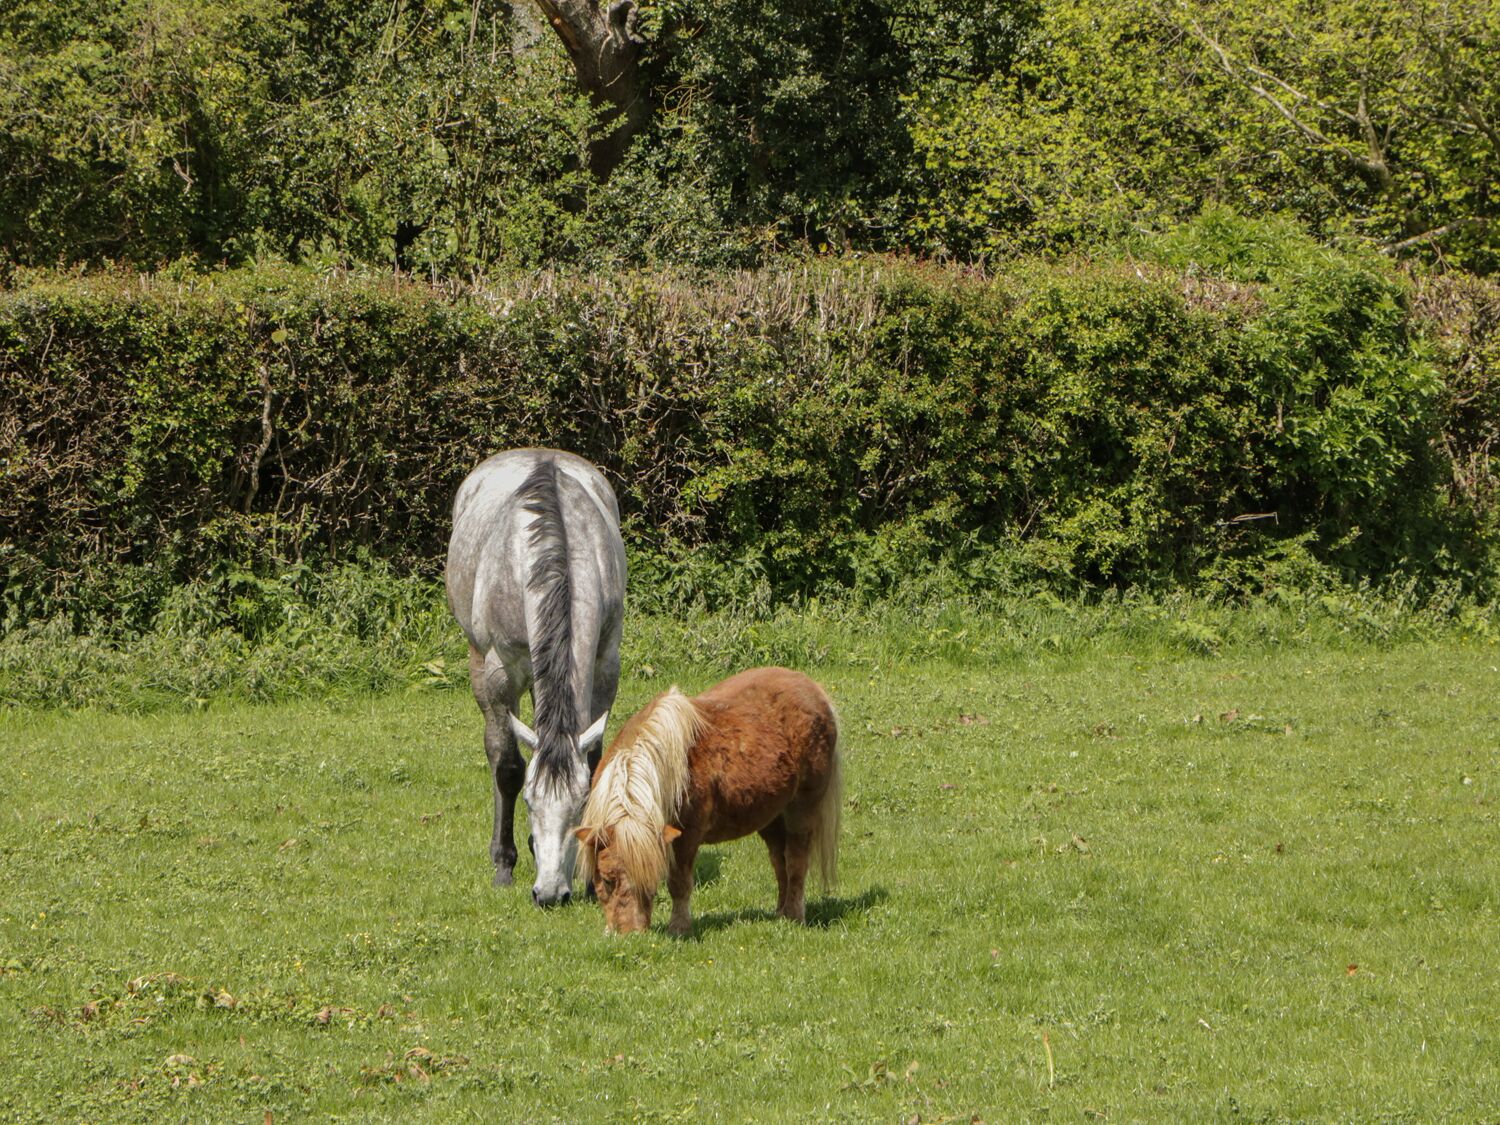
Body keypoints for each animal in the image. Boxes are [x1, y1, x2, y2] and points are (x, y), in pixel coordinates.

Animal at [446, 448, 626, 906]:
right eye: (529, 801)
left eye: (580, 806)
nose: (550, 893)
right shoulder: (501, 670)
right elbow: (509, 767)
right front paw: (504, 865)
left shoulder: (605, 663)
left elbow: (595, 762)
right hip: (481, 665)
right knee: (497, 749)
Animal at [573, 666, 842, 935]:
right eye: (607, 880)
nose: (631, 934)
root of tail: (815, 690)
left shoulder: (686, 837)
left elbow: (679, 883)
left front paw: (679, 928)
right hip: (772, 816)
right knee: (780, 861)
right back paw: (781, 914)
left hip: (802, 809)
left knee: (796, 861)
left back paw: (795, 917)